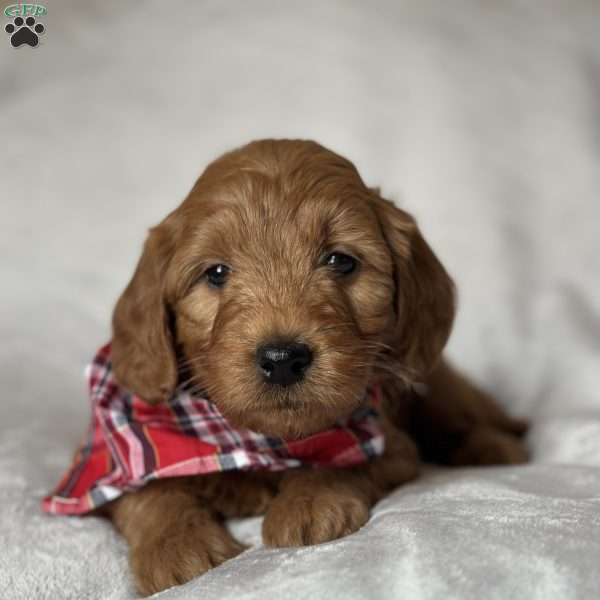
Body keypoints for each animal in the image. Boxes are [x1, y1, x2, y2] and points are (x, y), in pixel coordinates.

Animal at [45, 139, 524, 596]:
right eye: (216, 273)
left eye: (341, 260)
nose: (282, 359)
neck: (256, 442)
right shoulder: (100, 463)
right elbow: (149, 489)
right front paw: (177, 547)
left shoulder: (394, 447)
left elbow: (338, 459)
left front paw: (308, 502)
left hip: (437, 383)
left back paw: (496, 448)